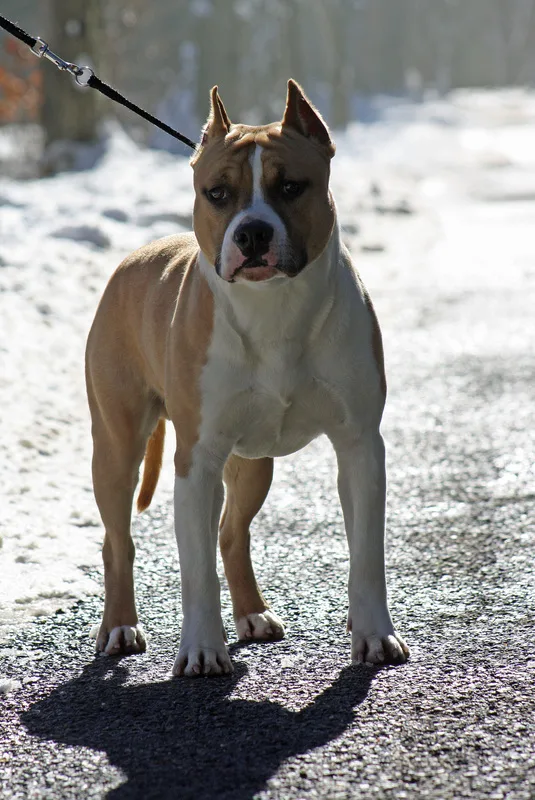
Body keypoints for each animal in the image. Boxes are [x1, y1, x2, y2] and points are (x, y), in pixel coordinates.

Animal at [85, 80, 409, 676]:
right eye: (217, 193)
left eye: (290, 186)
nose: (253, 232)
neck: (273, 307)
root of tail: (135, 257)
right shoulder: (197, 460)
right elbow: (195, 571)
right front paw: (200, 649)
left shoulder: (359, 446)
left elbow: (366, 552)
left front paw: (374, 635)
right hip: (117, 446)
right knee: (118, 540)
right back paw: (120, 627)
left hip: (253, 461)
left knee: (231, 533)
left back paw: (253, 615)